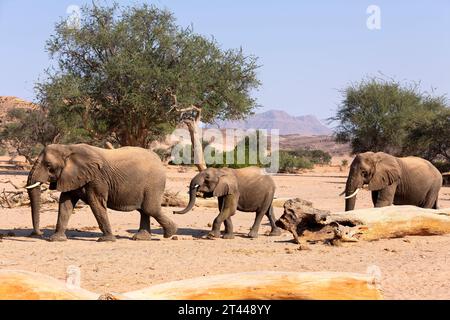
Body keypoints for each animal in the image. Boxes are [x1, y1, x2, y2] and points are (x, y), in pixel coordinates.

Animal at [24, 144, 176, 241]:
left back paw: (170, 233)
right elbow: (65, 204)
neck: (68, 148)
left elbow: (96, 203)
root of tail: (159, 160)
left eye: (49, 166)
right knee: (144, 210)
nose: (38, 234)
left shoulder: (97, 178)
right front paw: (56, 239)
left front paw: (106, 240)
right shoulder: (70, 177)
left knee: (150, 208)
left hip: (154, 182)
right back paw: (141, 238)